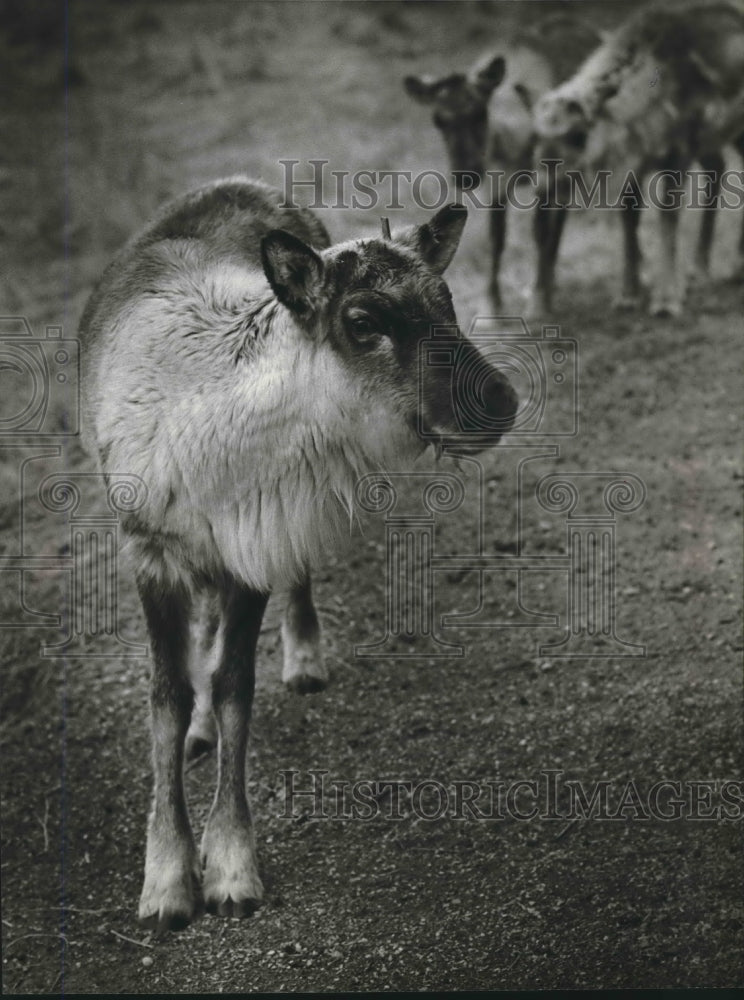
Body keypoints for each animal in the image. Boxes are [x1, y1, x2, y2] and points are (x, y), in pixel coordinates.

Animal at [77, 178, 516, 928]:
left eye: (447, 301)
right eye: (363, 320)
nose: (500, 400)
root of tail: (239, 183)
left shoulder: (257, 543)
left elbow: (235, 688)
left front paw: (230, 866)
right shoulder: (151, 550)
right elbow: (167, 698)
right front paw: (165, 880)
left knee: (289, 586)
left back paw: (305, 657)